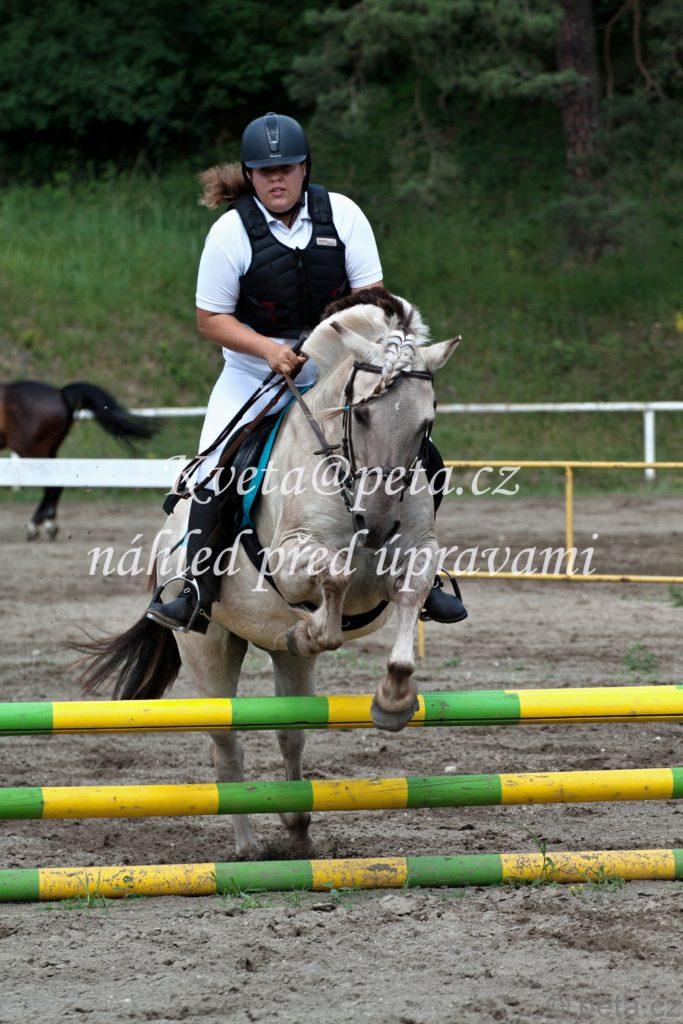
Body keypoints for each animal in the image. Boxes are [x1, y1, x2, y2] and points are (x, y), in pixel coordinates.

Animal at [76, 291, 460, 858]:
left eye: (426, 422)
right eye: (364, 413)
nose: (376, 523)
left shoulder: (418, 549)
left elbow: (410, 595)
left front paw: (393, 697)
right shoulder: (290, 558)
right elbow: (335, 575)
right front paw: (314, 629)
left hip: (281, 668)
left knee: (290, 734)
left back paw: (297, 828)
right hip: (208, 648)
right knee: (226, 745)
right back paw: (247, 847)